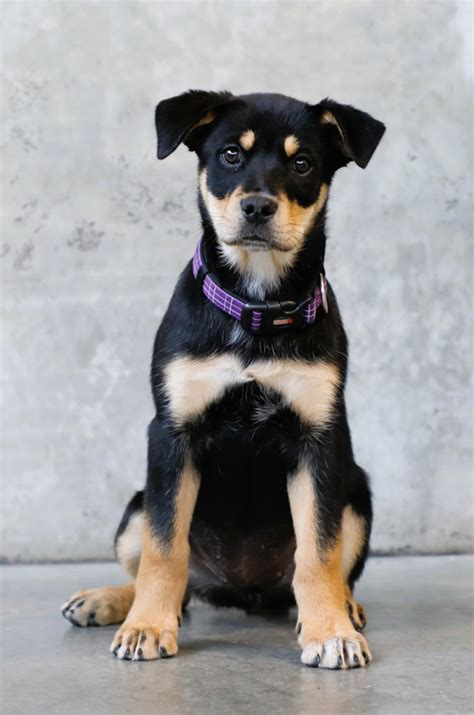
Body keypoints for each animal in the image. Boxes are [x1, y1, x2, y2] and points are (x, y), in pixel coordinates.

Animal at [61, 91, 386, 672]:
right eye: (231, 154)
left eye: (302, 163)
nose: (257, 207)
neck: (255, 305)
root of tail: (243, 588)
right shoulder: (172, 434)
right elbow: (165, 549)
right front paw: (147, 627)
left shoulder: (319, 441)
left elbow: (319, 551)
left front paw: (331, 632)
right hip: (135, 506)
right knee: (171, 577)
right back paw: (110, 602)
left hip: (357, 494)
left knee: (322, 569)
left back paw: (343, 608)